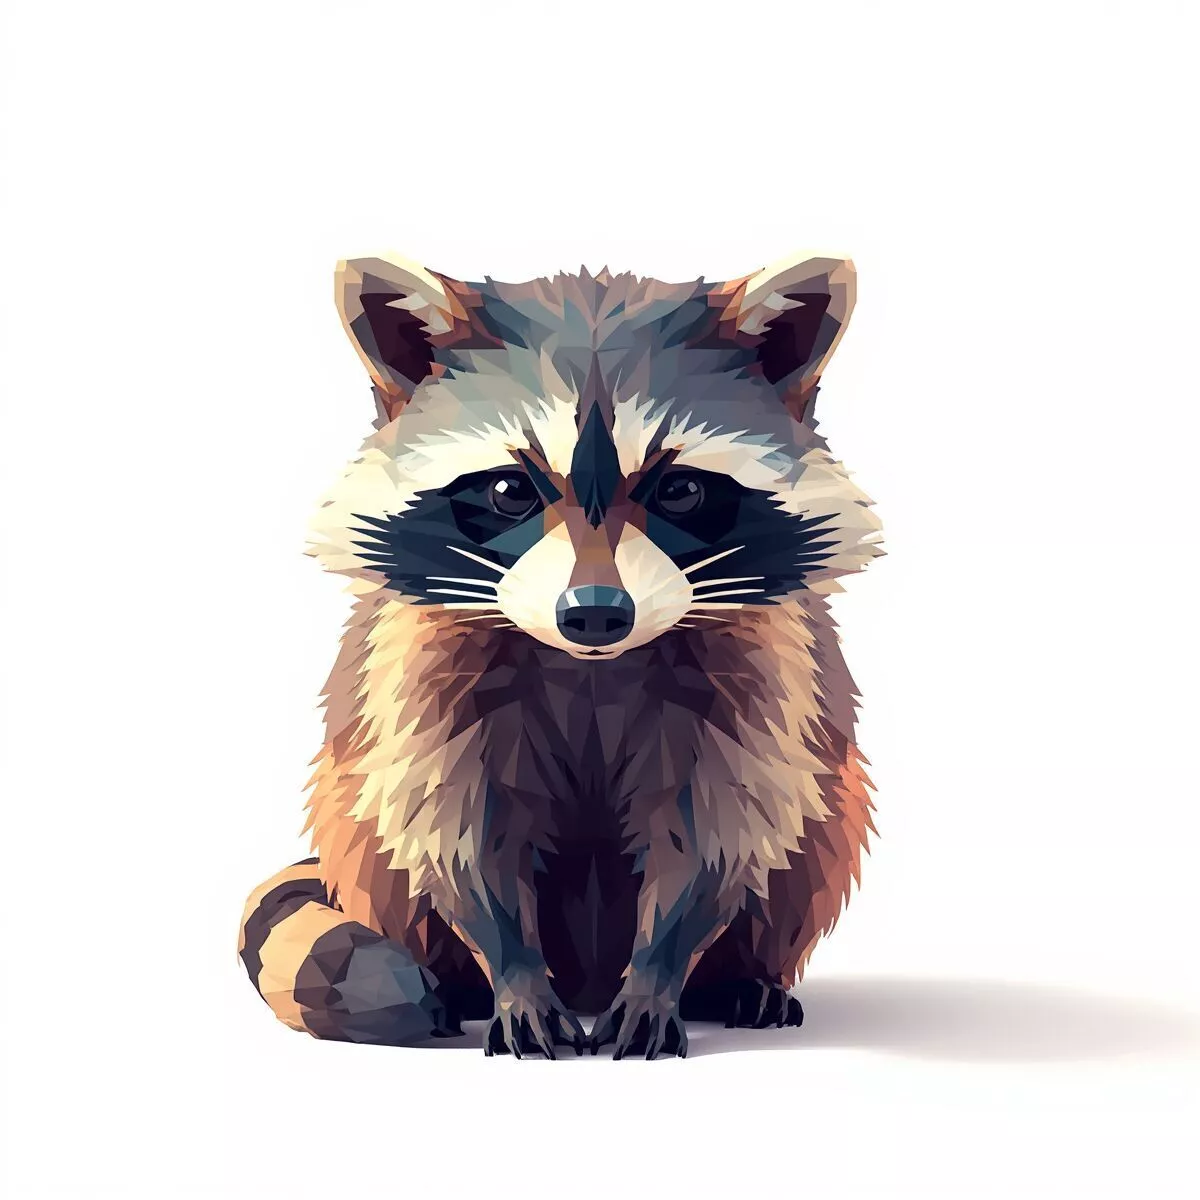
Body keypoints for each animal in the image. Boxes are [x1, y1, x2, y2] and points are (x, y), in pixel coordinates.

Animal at [238, 251, 882, 1059]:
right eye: (509, 490)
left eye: (681, 489)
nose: (596, 612)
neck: (593, 666)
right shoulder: (423, 669)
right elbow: (455, 828)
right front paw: (515, 974)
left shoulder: (759, 670)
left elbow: (717, 829)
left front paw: (656, 975)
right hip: (354, 829)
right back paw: (456, 982)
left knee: (812, 835)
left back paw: (741, 978)